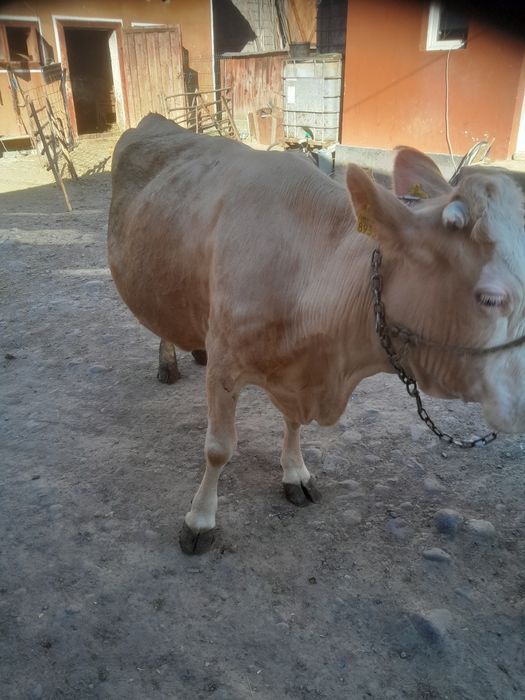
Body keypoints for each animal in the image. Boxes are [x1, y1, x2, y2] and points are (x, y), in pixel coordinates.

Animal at [108, 114, 525, 555]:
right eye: (490, 298)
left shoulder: (298, 371)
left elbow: (293, 424)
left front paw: (295, 473)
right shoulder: (225, 363)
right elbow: (219, 448)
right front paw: (200, 519)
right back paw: (167, 362)